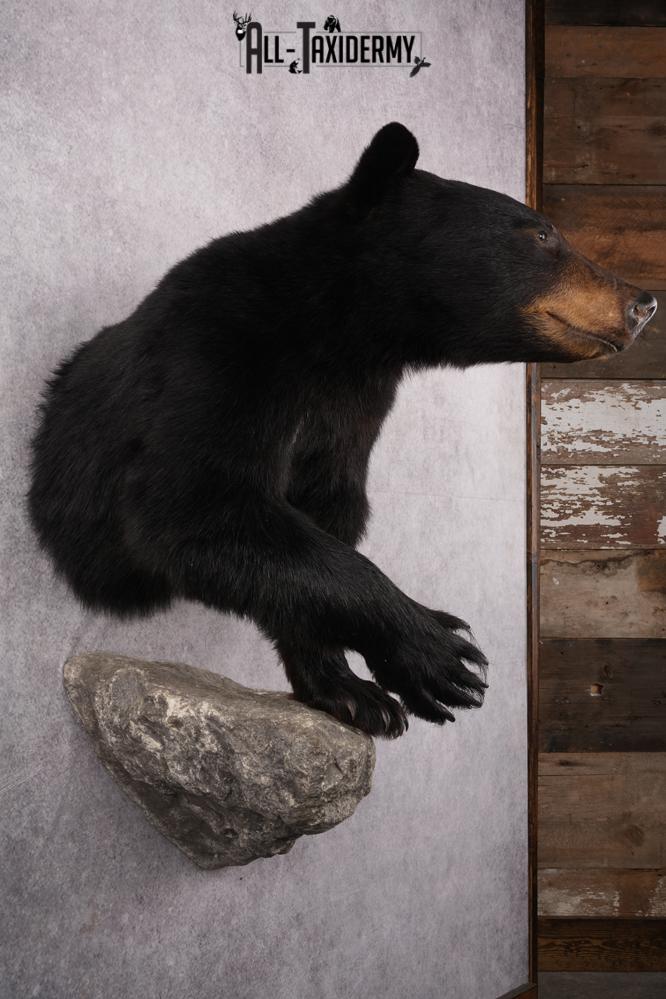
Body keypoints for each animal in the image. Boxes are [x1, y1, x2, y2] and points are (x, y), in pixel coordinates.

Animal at [28, 122, 657, 738]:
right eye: (542, 235)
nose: (643, 302)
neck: (341, 331)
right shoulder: (217, 351)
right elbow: (197, 508)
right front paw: (438, 655)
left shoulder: (353, 411)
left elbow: (322, 516)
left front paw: (351, 690)